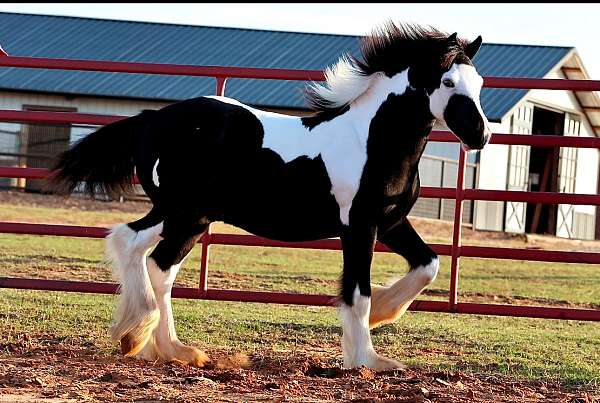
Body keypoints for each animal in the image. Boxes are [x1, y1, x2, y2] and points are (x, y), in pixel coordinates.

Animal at [51, 21, 490, 370]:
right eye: (448, 83)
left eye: (480, 84)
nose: (480, 135)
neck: (370, 141)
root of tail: (154, 119)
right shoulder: (358, 226)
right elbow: (357, 291)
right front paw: (367, 359)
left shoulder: (391, 222)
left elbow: (428, 265)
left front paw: (383, 313)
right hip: (182, 211)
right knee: (145, 254)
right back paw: (149, 336)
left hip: (187, 216)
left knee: (146, 255)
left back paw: (160, 345)